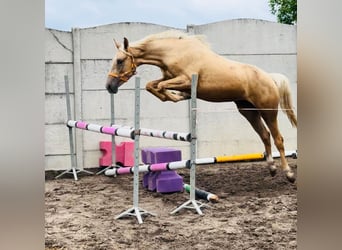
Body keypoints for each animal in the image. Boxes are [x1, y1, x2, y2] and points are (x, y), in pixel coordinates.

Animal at [106, 30, 296, 183]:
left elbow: (159, 86)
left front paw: (177, 96)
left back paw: (289, 174)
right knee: (265, 135)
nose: (109, 87)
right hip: (249, 111)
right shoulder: (169, 78)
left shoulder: (185, 80)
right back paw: (272, 168)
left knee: (278, 139)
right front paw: (176, 96)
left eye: (120, 61)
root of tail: (270, 78)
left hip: (268, 111)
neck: (174, 52)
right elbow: (151, 85)